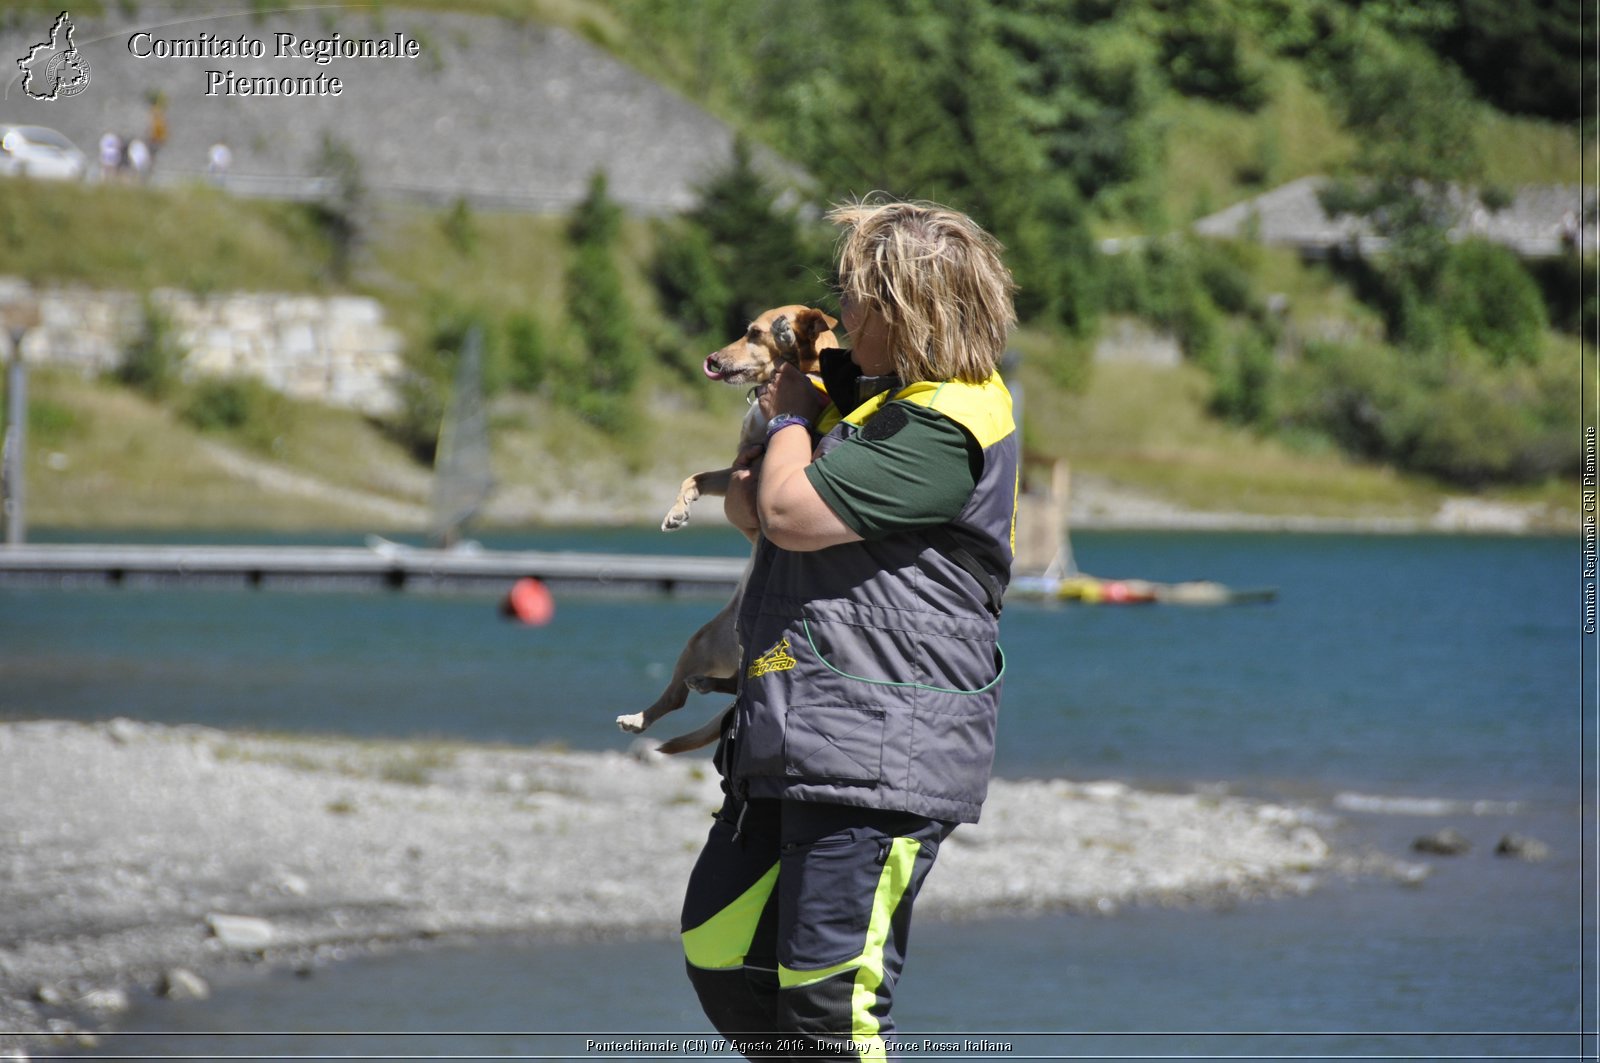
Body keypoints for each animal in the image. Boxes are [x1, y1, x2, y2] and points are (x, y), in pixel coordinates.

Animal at [614, 305, 838, 755]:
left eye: (754, 333)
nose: (713, 359)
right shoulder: (736, 467)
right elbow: (695, 477)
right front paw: (677, 512)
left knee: (729, 687)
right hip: (700, 640)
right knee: (682, 695)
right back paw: (643, 715)